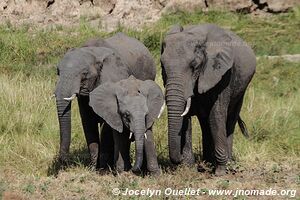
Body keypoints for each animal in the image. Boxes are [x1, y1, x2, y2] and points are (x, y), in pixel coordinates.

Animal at [54, 33, 156, 169]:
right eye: (57, 72)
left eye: (84, 74)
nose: (65, 162)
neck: (92, 51)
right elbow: (87, 121)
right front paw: (93, 168)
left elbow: (106, 124)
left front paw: (103, 168)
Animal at [161, 23, 256, 175]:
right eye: (163, 66)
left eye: (194, 66)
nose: (178, 159)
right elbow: (185, 119)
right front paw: (189, 169)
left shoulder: (223, 75)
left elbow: (216, 115)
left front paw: (220, 172)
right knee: (205, 123)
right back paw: (207, 163)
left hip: (242, 88)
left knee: (230, 119)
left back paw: (227, 164)